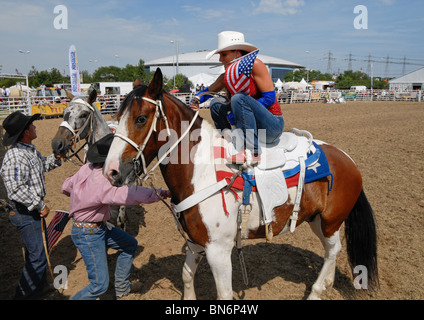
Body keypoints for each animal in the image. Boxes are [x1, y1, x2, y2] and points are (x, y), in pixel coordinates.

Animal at [102, 69, 378, 300]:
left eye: (140, 119)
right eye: (117, 116)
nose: (111, 171)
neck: (204, 171)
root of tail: (347, 159)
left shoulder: (219, 251)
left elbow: (223, 294)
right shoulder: (196, 242)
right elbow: (186, 275)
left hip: (331, 220)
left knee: (333, 249)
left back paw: (316, 292)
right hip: (317, 219)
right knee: (332, 249)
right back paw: (328, 283)